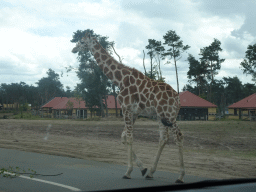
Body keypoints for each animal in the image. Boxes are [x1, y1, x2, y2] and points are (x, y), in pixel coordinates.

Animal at [71, 33, 185, 183]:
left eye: (82, 42)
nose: (73, 49)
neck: (120, 79)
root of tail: (178, 98)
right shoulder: (133, 112)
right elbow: (123, 137)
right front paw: (143, 169)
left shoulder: (126, 108)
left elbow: (129, 137)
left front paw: (128, 172)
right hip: (160, 116)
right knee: (163, 138)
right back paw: (151, 173)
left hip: (169, 114)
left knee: (178, 136)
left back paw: (180, 176)